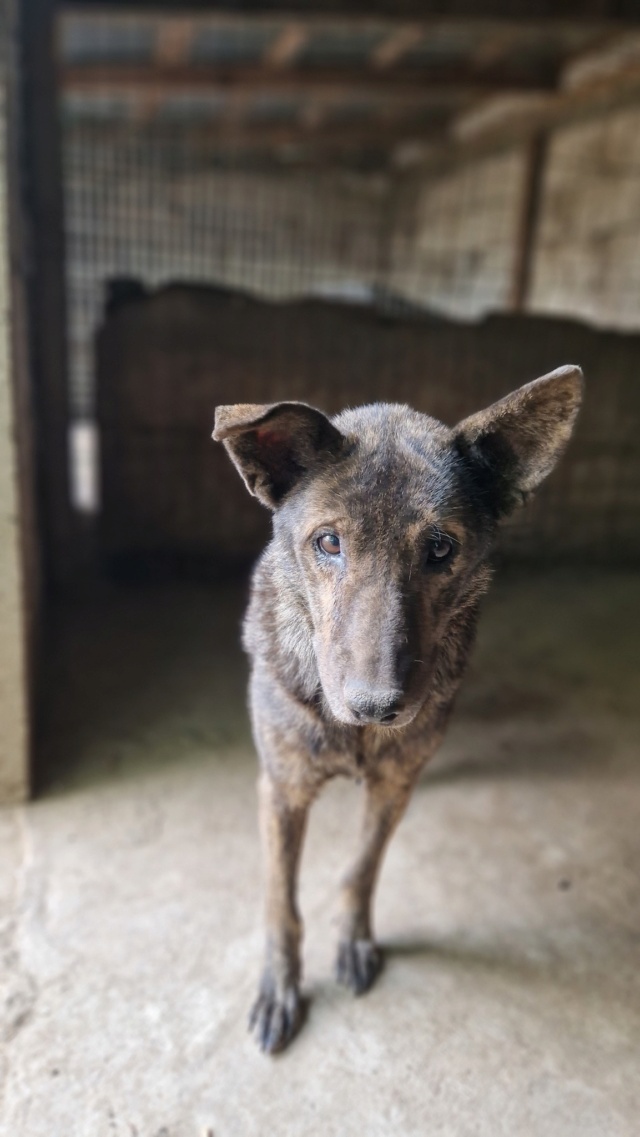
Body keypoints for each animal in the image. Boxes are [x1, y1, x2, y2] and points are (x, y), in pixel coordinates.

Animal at [212, 366, 582, 1055]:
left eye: (439, 548)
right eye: (328, 543)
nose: (375, 708)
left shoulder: (392, 786)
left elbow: (361, 868)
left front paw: (354, 939)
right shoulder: (281, 789)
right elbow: (280, 902)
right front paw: (279, 986)